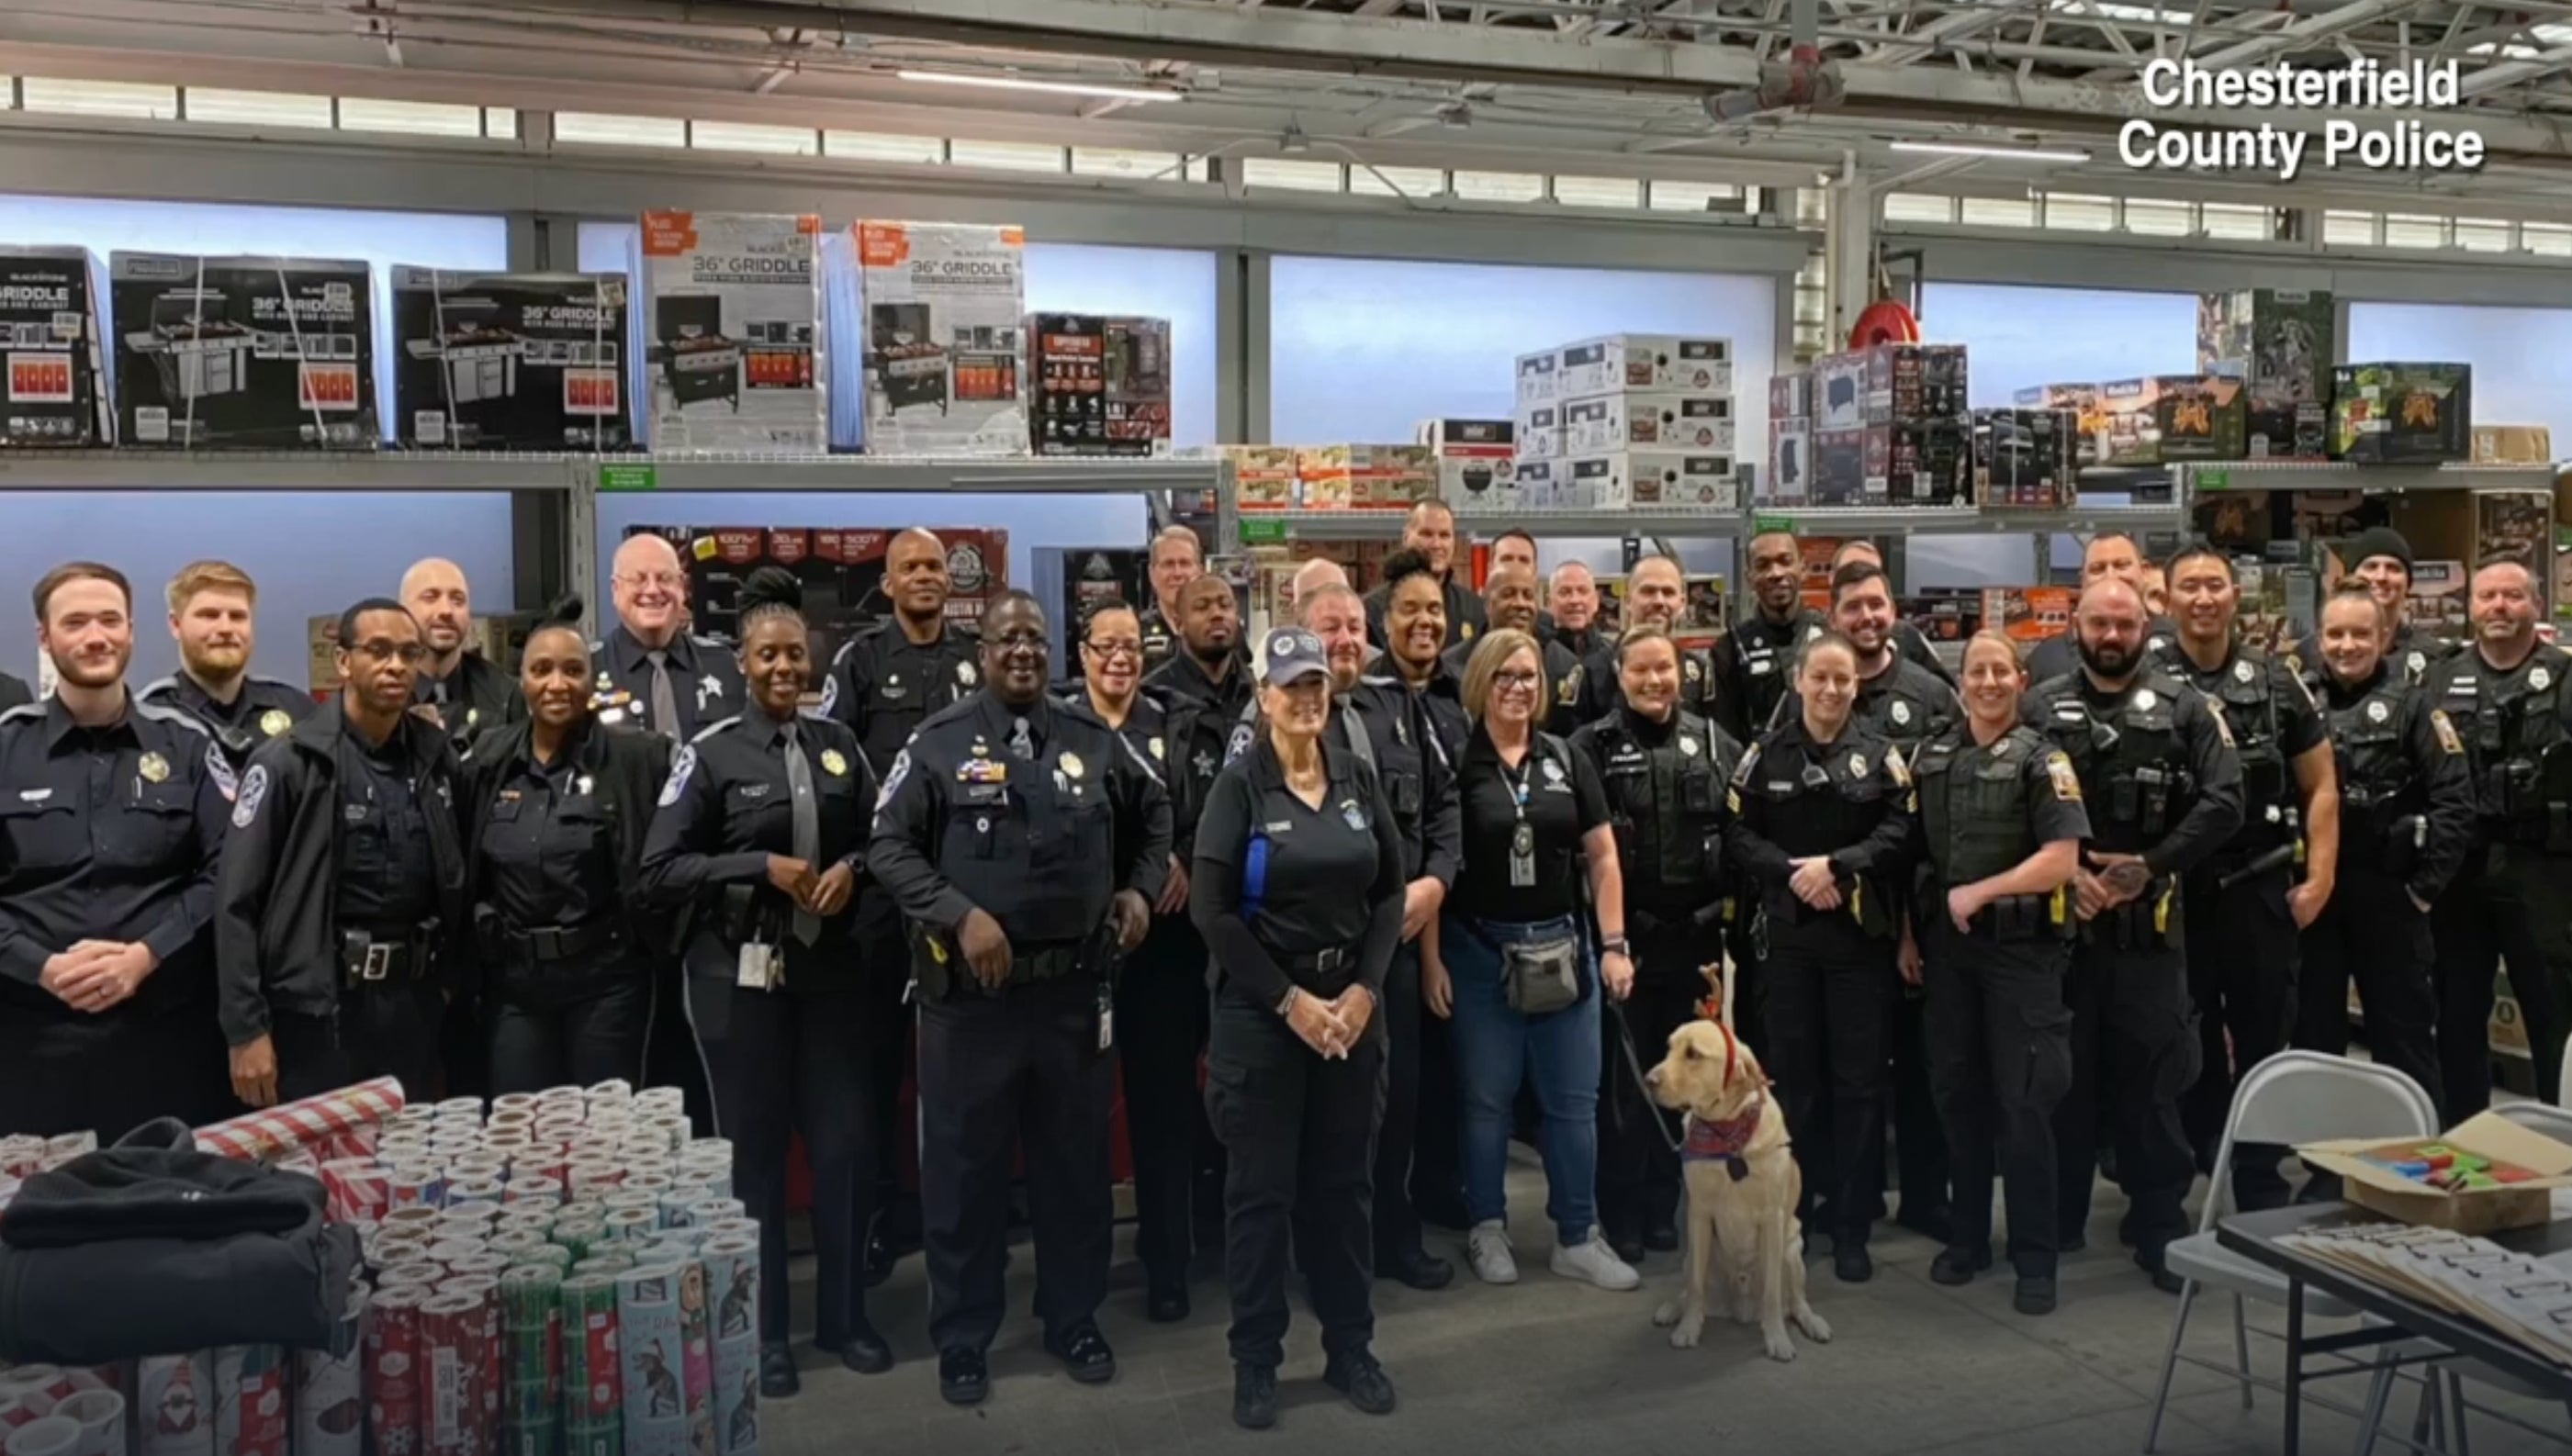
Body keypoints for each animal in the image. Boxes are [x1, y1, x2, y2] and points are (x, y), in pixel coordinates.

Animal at [1645, 1024, 1831, 1368]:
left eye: (1693, 1053)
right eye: (1669, 1048)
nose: (1648, 1080)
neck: (1726, 1133)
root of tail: (1741, 1308)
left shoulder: (1772, 1220)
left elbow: (1772, 1295)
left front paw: (1777, 1339)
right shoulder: (1699, 1214)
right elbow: (1695, 1289)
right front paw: (1688, 1328)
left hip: (1792, 1251)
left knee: (1796, 1300)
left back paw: (1813, 1322)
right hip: (1693, 1255)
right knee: (1690, 1289)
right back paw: (1672, 1309)